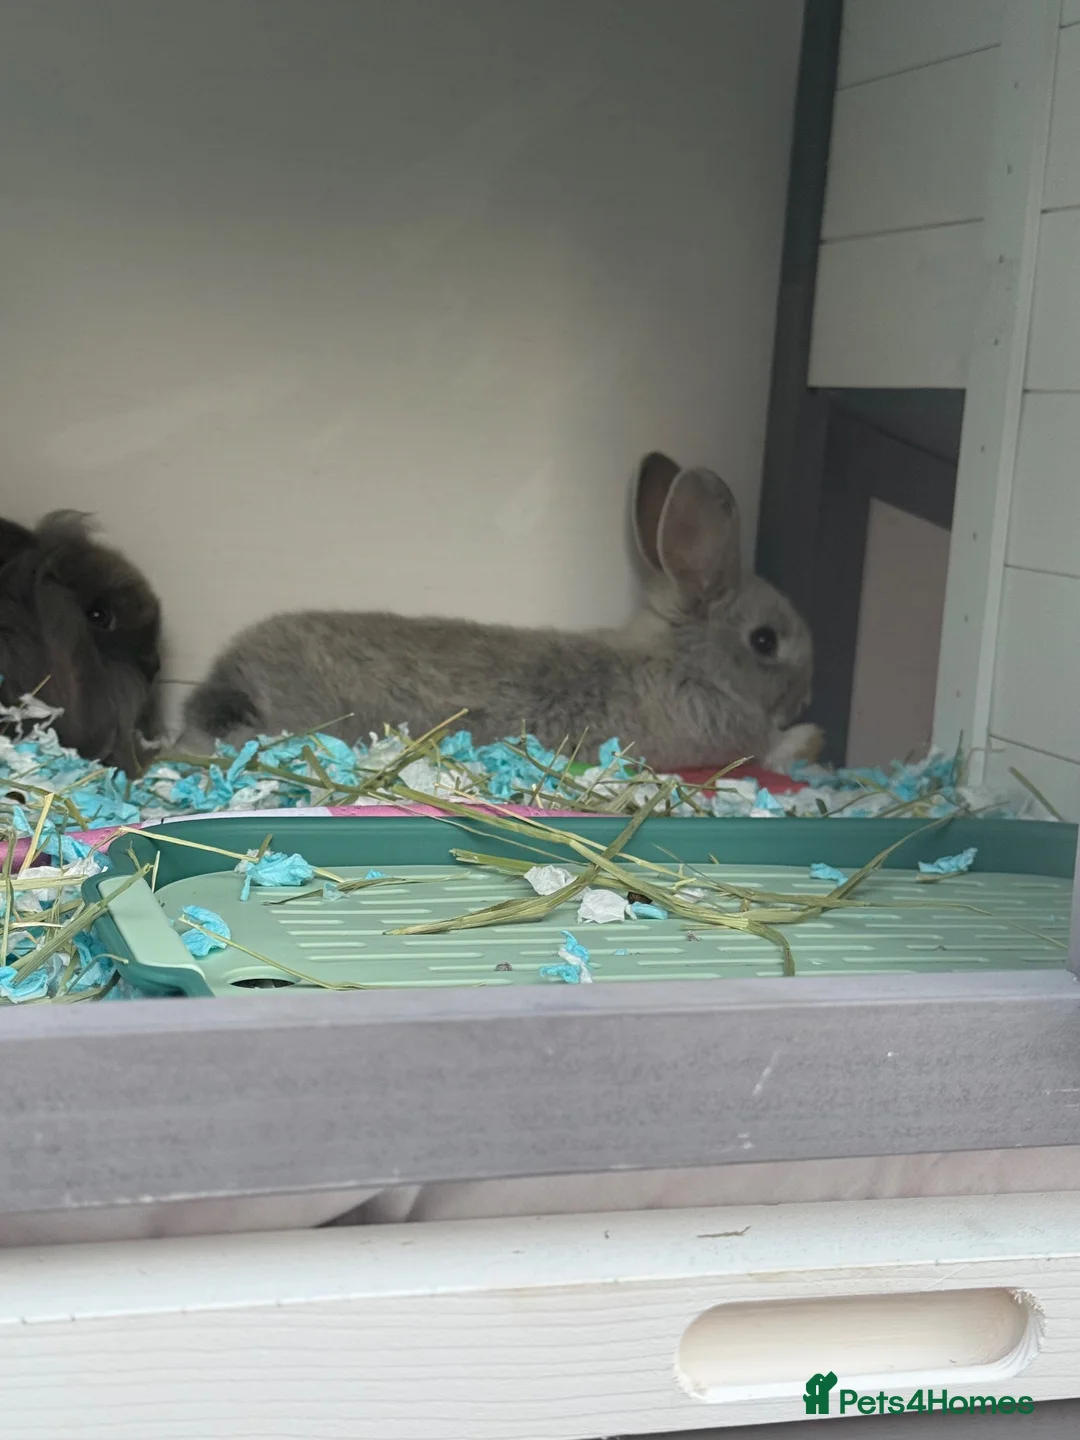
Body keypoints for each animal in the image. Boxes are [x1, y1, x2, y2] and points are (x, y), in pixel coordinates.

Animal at [180, 452, 823, 773]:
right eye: (766, 641)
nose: (804, 700)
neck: (686, 661)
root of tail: (222, 686)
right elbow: (770, 750)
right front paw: (809, 739)